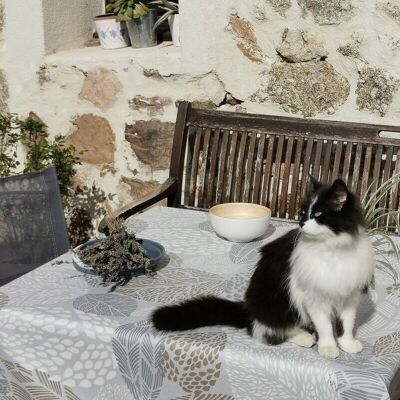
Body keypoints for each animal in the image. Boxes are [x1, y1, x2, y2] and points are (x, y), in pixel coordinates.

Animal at [153, 178, 376, 360]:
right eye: (303, 212)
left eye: (319, 214)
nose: (301, 222)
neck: (332, 249)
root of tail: (248, 310)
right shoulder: (313, 297)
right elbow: (325, 327)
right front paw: (328, 347)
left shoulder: (350, 295)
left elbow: (347, 324)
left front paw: (347, 344)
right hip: (274, 300)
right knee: (269, 329)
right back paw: (304, 337)